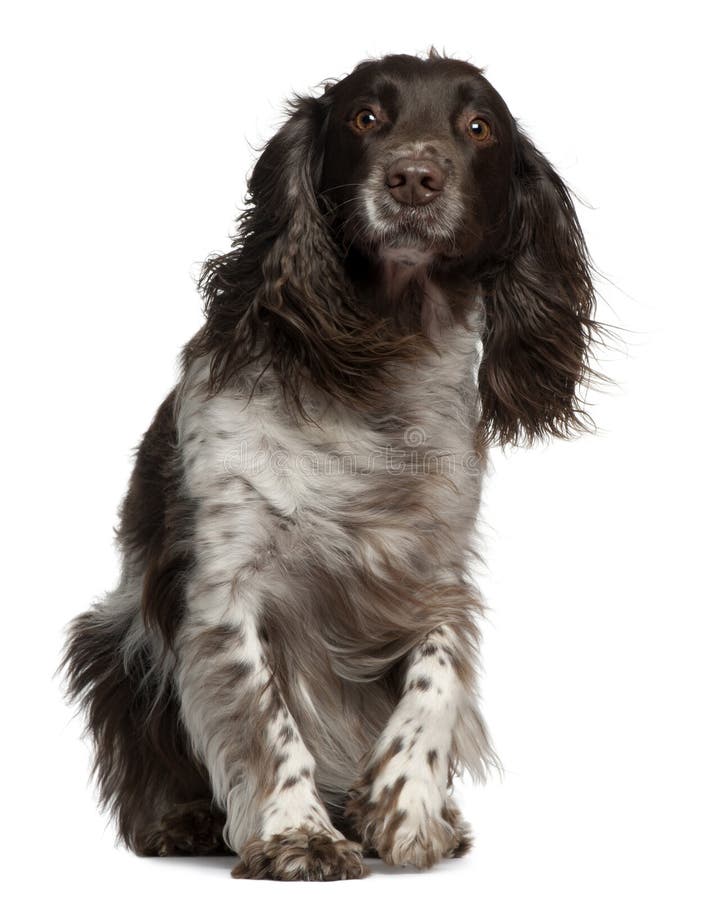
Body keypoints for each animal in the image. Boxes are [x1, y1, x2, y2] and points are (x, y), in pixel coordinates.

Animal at [61, 49, 596, 880]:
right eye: (364, 117)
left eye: (478, 127)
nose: (413, 177)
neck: (377, 358)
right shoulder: (224, 588)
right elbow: (266, 719)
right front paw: (298, 835)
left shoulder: (429, 572)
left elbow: (437, 677)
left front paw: (407, 808)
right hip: (110, 643)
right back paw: (182, 820)